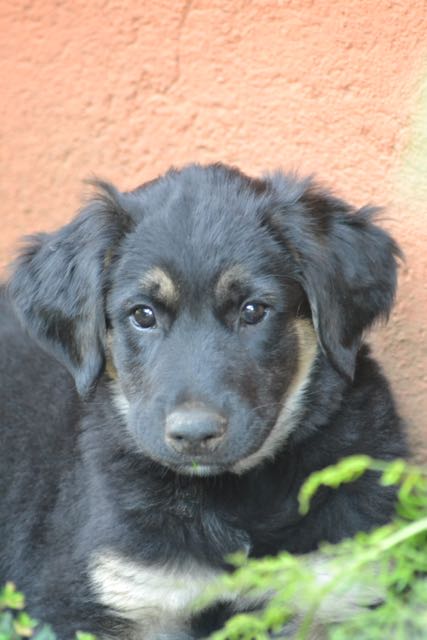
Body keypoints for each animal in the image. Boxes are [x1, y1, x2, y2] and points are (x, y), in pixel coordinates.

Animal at [0, 163, 408, 639]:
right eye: (142, 314)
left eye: (253, 310)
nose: (194, 434)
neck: (232, 497)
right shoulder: (115, 593)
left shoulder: (336, 587)